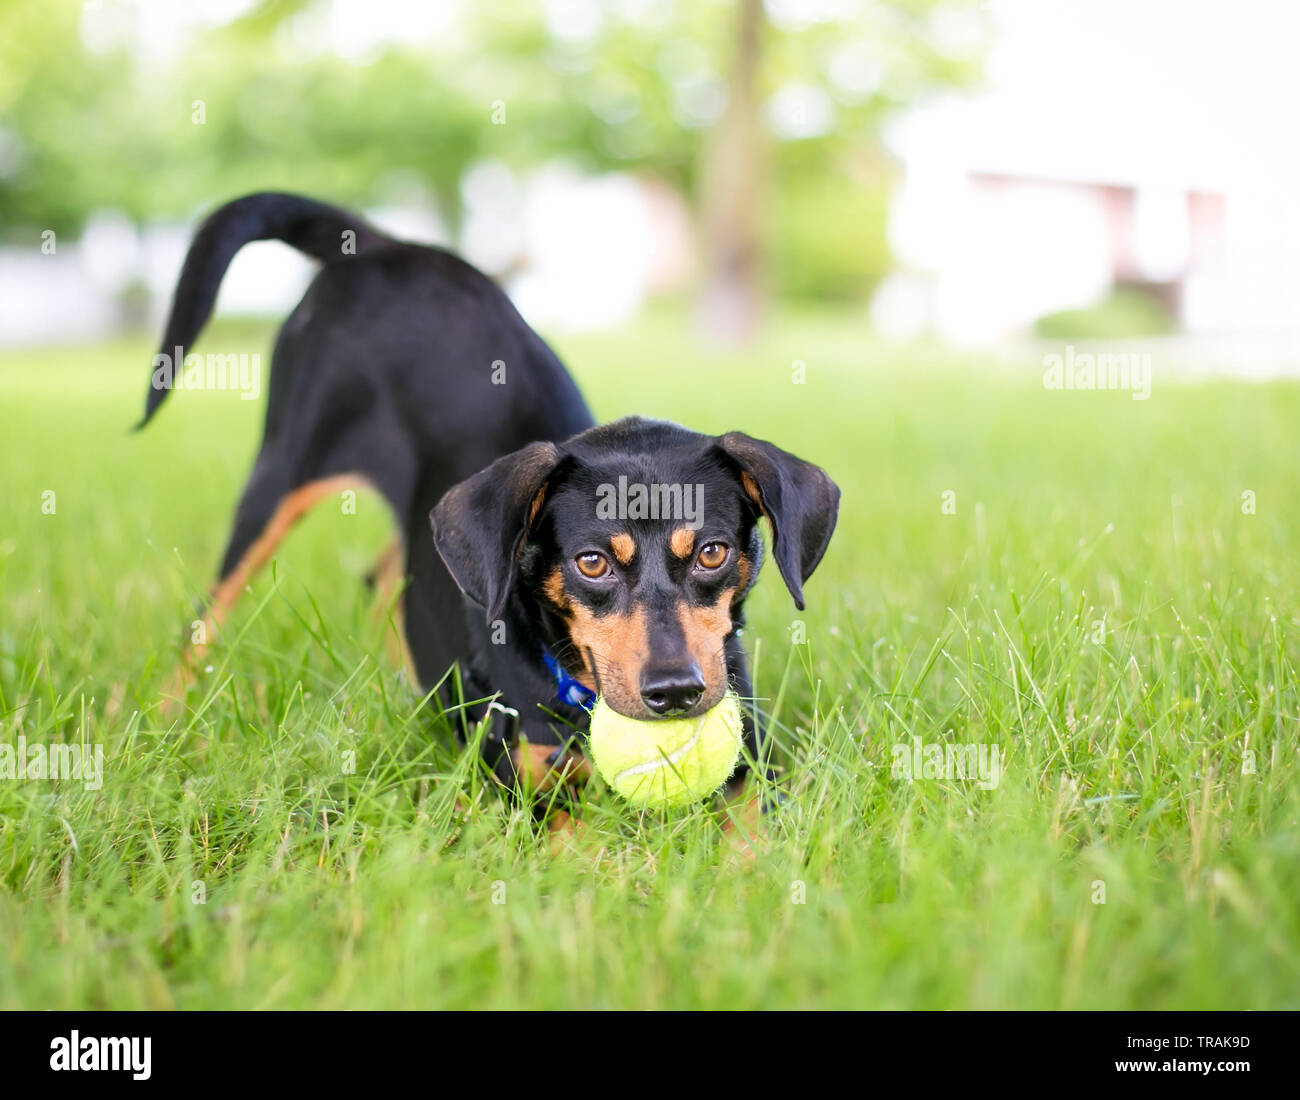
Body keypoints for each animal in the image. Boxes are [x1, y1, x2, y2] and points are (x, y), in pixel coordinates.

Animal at [144, 193, 842, 806]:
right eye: (591, 563)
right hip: (282, 469)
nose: (675, 693)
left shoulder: (753, 766)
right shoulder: (522, 789)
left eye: (713, 553)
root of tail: (384, 245)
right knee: (204, 617)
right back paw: (164, 723)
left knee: (384, 578)